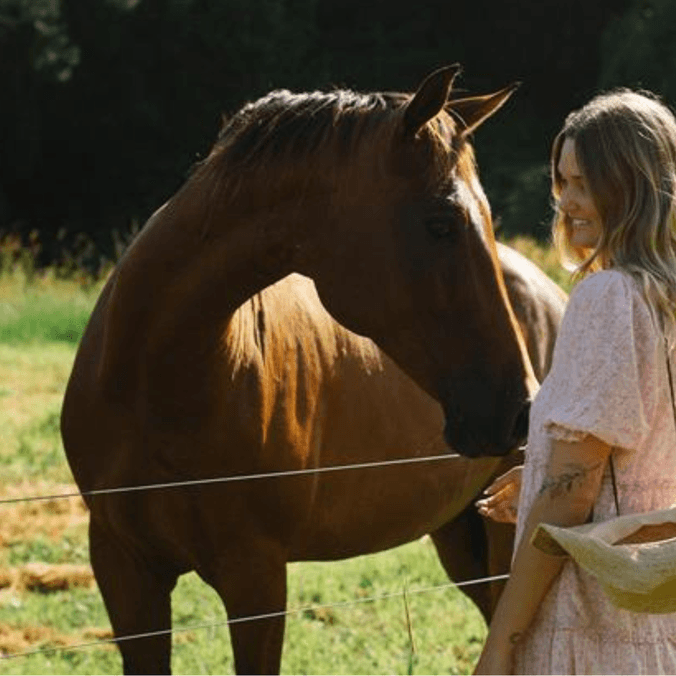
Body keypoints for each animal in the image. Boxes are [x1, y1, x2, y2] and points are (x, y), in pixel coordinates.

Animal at [60, 66, 543, 673]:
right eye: (440, 224)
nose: (521, 410)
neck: (156, 386)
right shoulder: (124, 570)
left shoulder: (256, 578)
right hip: (459, 533)